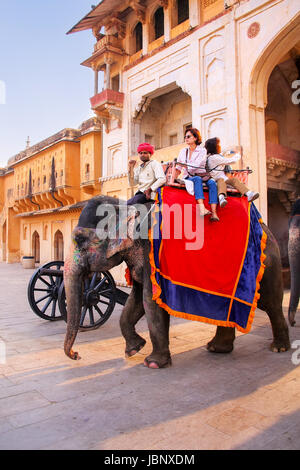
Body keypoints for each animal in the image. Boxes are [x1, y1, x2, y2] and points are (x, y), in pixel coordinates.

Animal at [63, 195, 290, 368]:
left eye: (80, 240)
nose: (76, 355)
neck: (124, 205)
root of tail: (265, 227)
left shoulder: (151, 255)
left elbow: (150, 301)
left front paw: (153, 363)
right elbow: (134, 302)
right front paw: (133, 349)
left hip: (266, 263)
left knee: (270, 303)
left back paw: (279, 348)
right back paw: (217, 348)